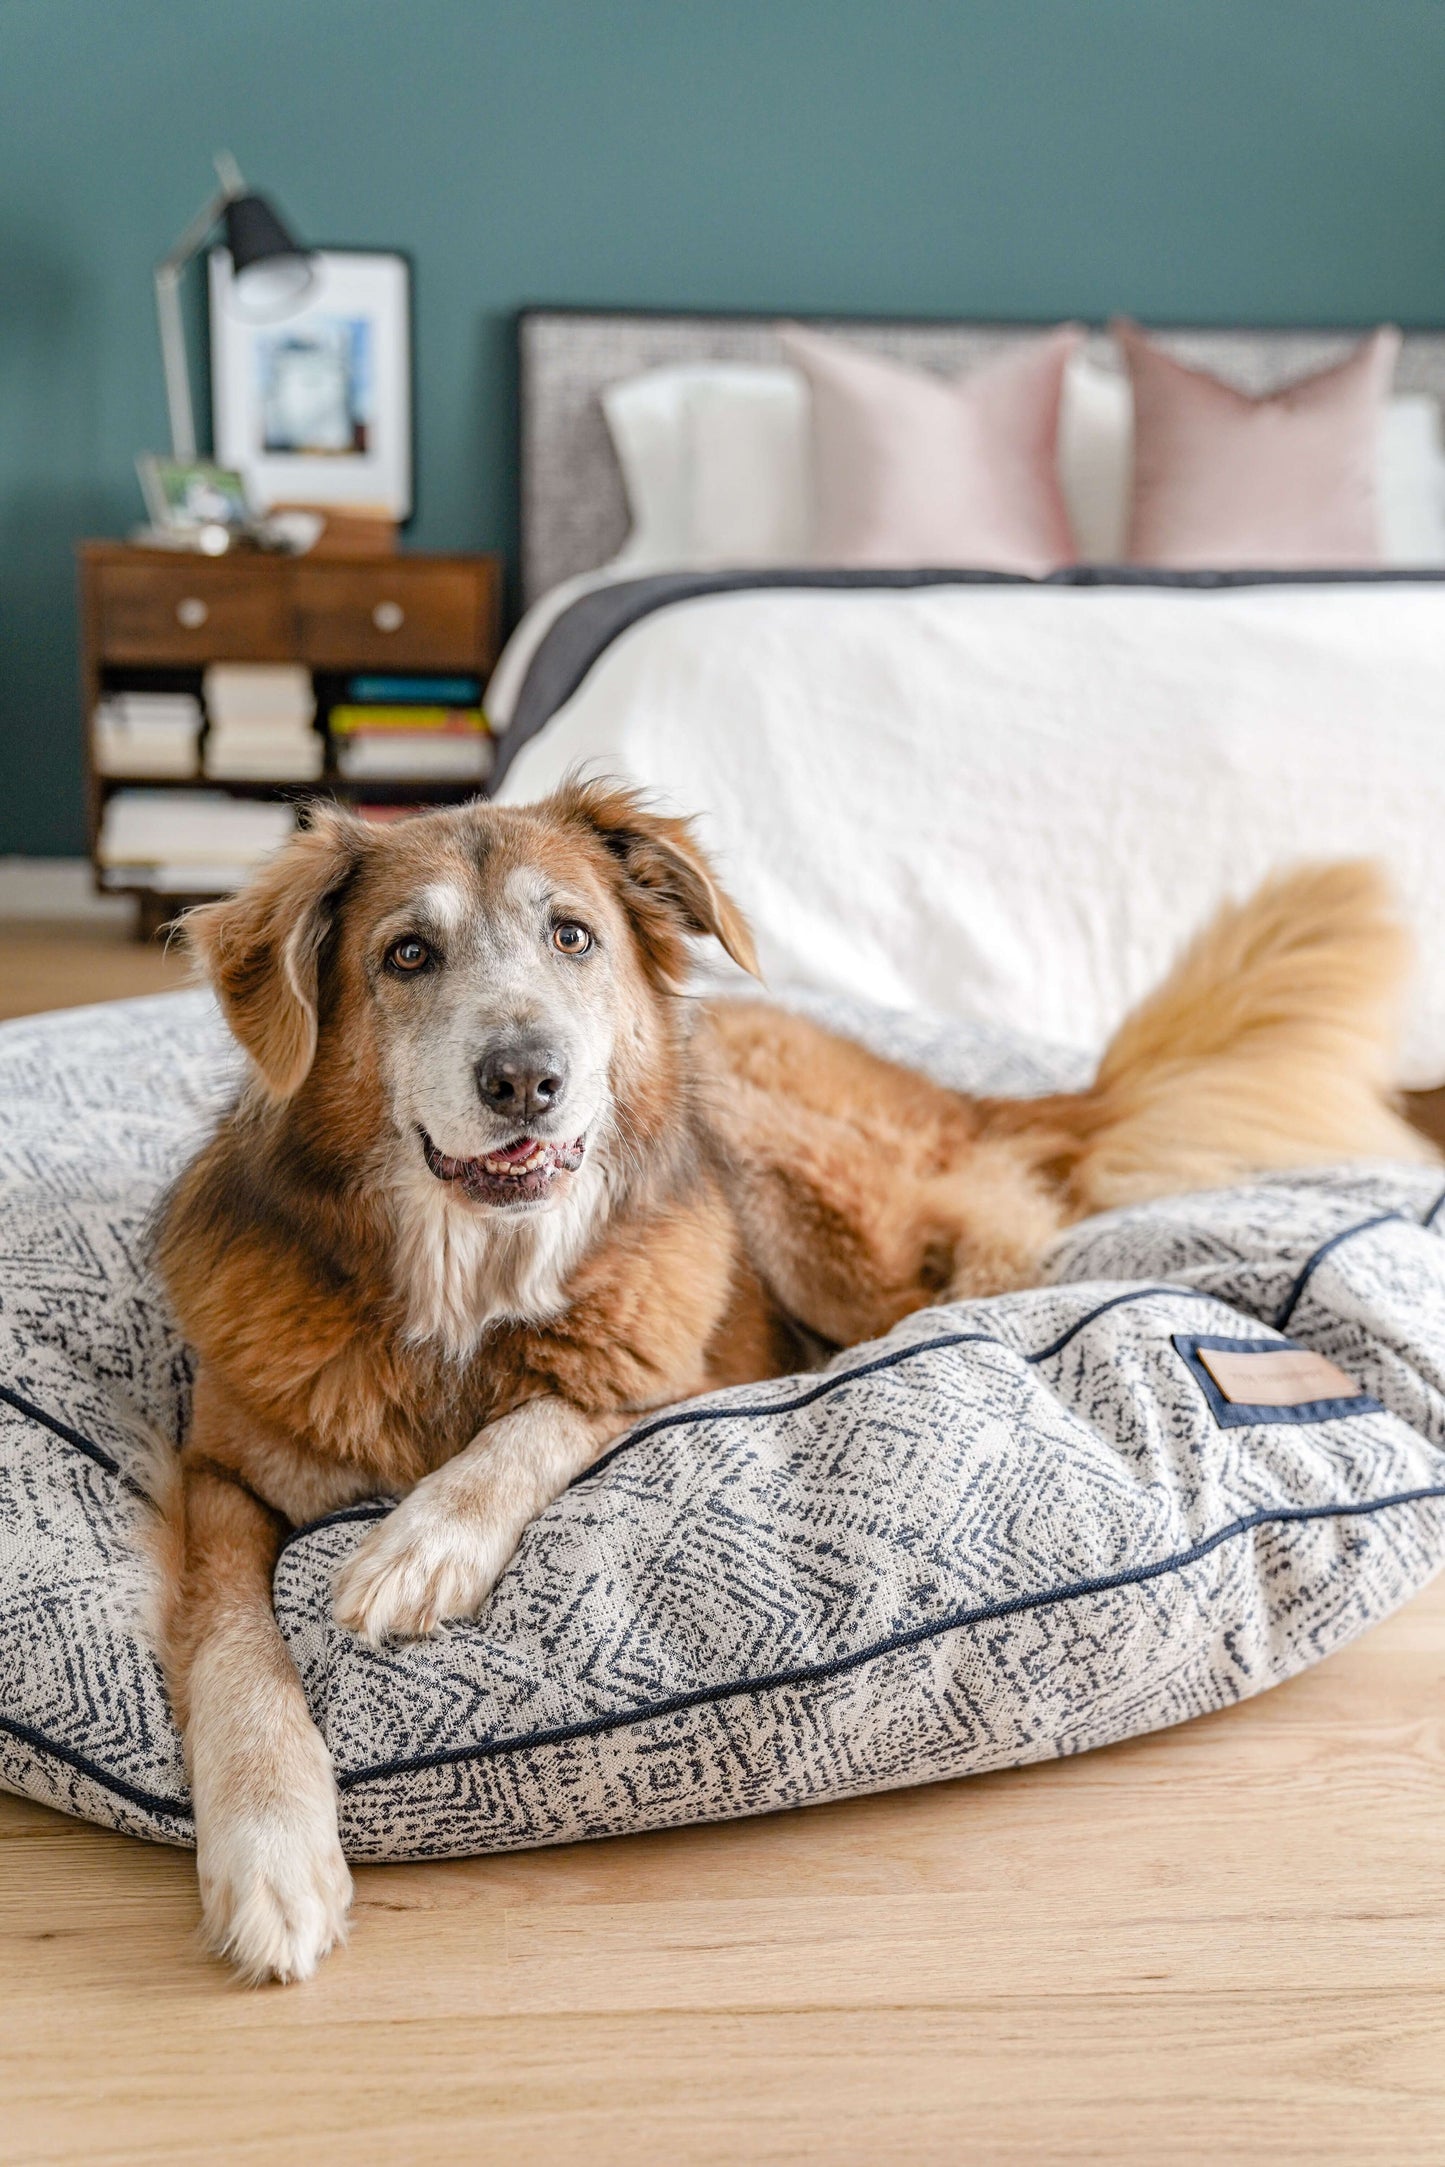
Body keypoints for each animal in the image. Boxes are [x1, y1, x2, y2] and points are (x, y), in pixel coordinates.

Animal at [161, 780, 1438, 1984]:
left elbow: (542, 1420)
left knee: (977, 1270)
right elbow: (234, 1651)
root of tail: (951, 1091)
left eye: (571, 936)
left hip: (798, 1178)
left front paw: (424, 1544)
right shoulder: (214, 1470)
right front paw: (271, 1855)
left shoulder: (649, 1376)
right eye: (406, 955)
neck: (470, 1283)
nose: (526, 1078)